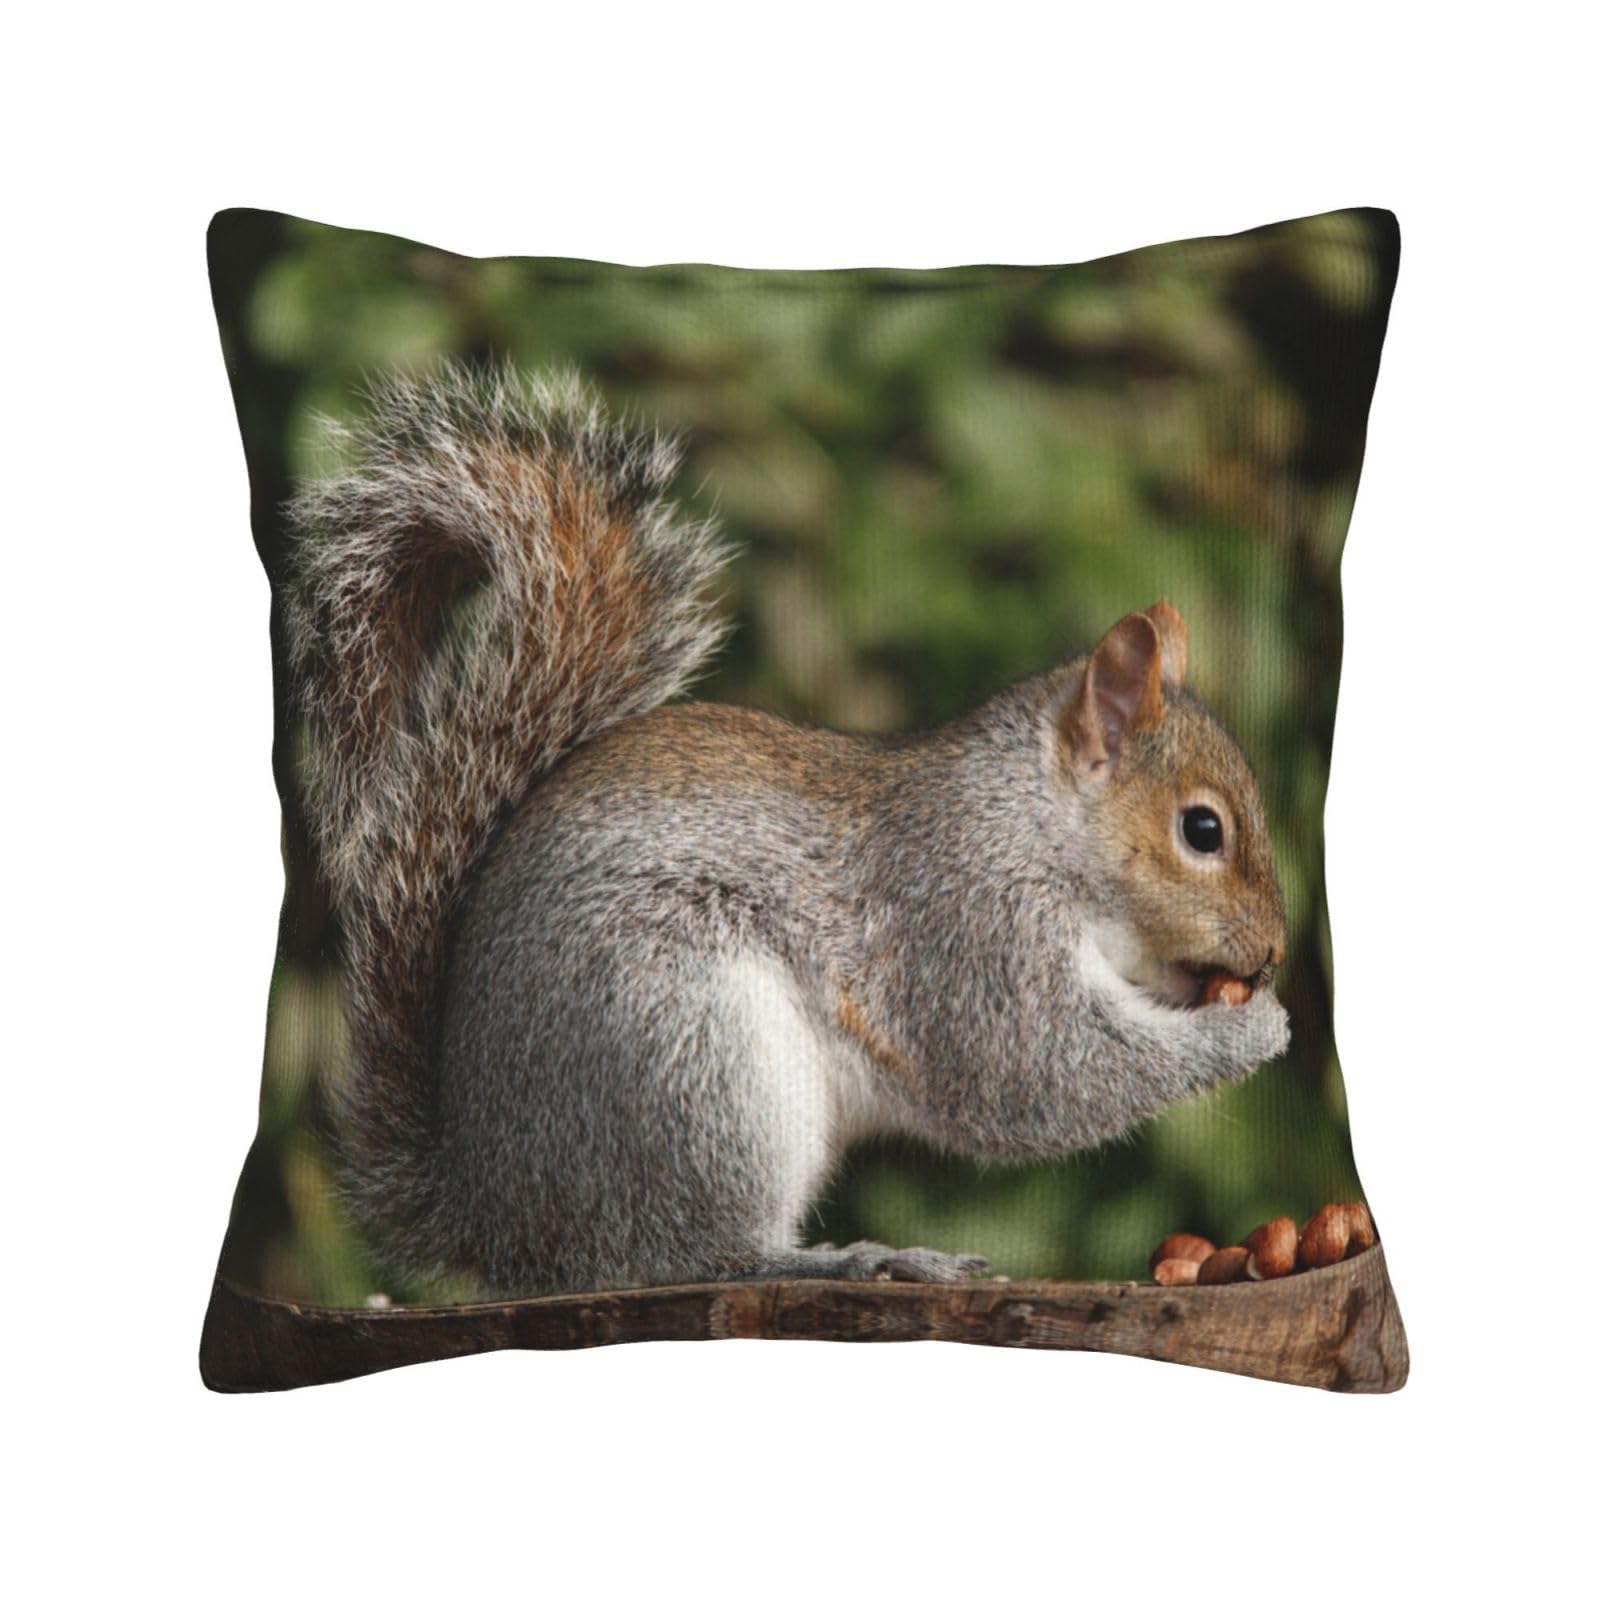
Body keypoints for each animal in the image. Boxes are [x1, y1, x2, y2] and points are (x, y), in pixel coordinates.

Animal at [284, 362, 1291, 1296]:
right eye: (1203, 831)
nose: (1277, 954)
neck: (1030, 822)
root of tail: (495, 1215)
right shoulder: (968, 927)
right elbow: (1037, 1073)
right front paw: (1252, 1032)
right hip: (693, 1050)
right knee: (689, 1254)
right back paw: (858, 1257)